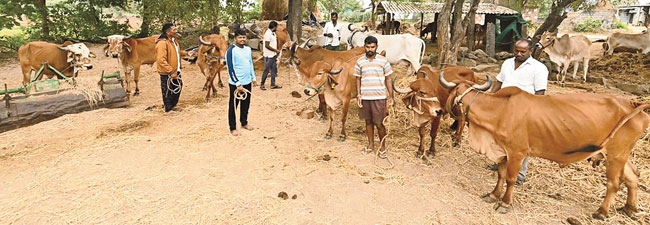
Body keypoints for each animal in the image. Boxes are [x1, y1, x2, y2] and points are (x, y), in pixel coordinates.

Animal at [436, 74, 648, 220]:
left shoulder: (517, 152)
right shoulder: (503, 151)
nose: (442, 110)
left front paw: (504, 203)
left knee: (614, 184)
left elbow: (511, 179)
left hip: (615, 155)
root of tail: (633, 104)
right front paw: (493, 195)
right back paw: (629, 208)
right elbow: (501, 174)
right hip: (619, 155)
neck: (500, 111)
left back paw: (601, 212)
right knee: (632, 177)